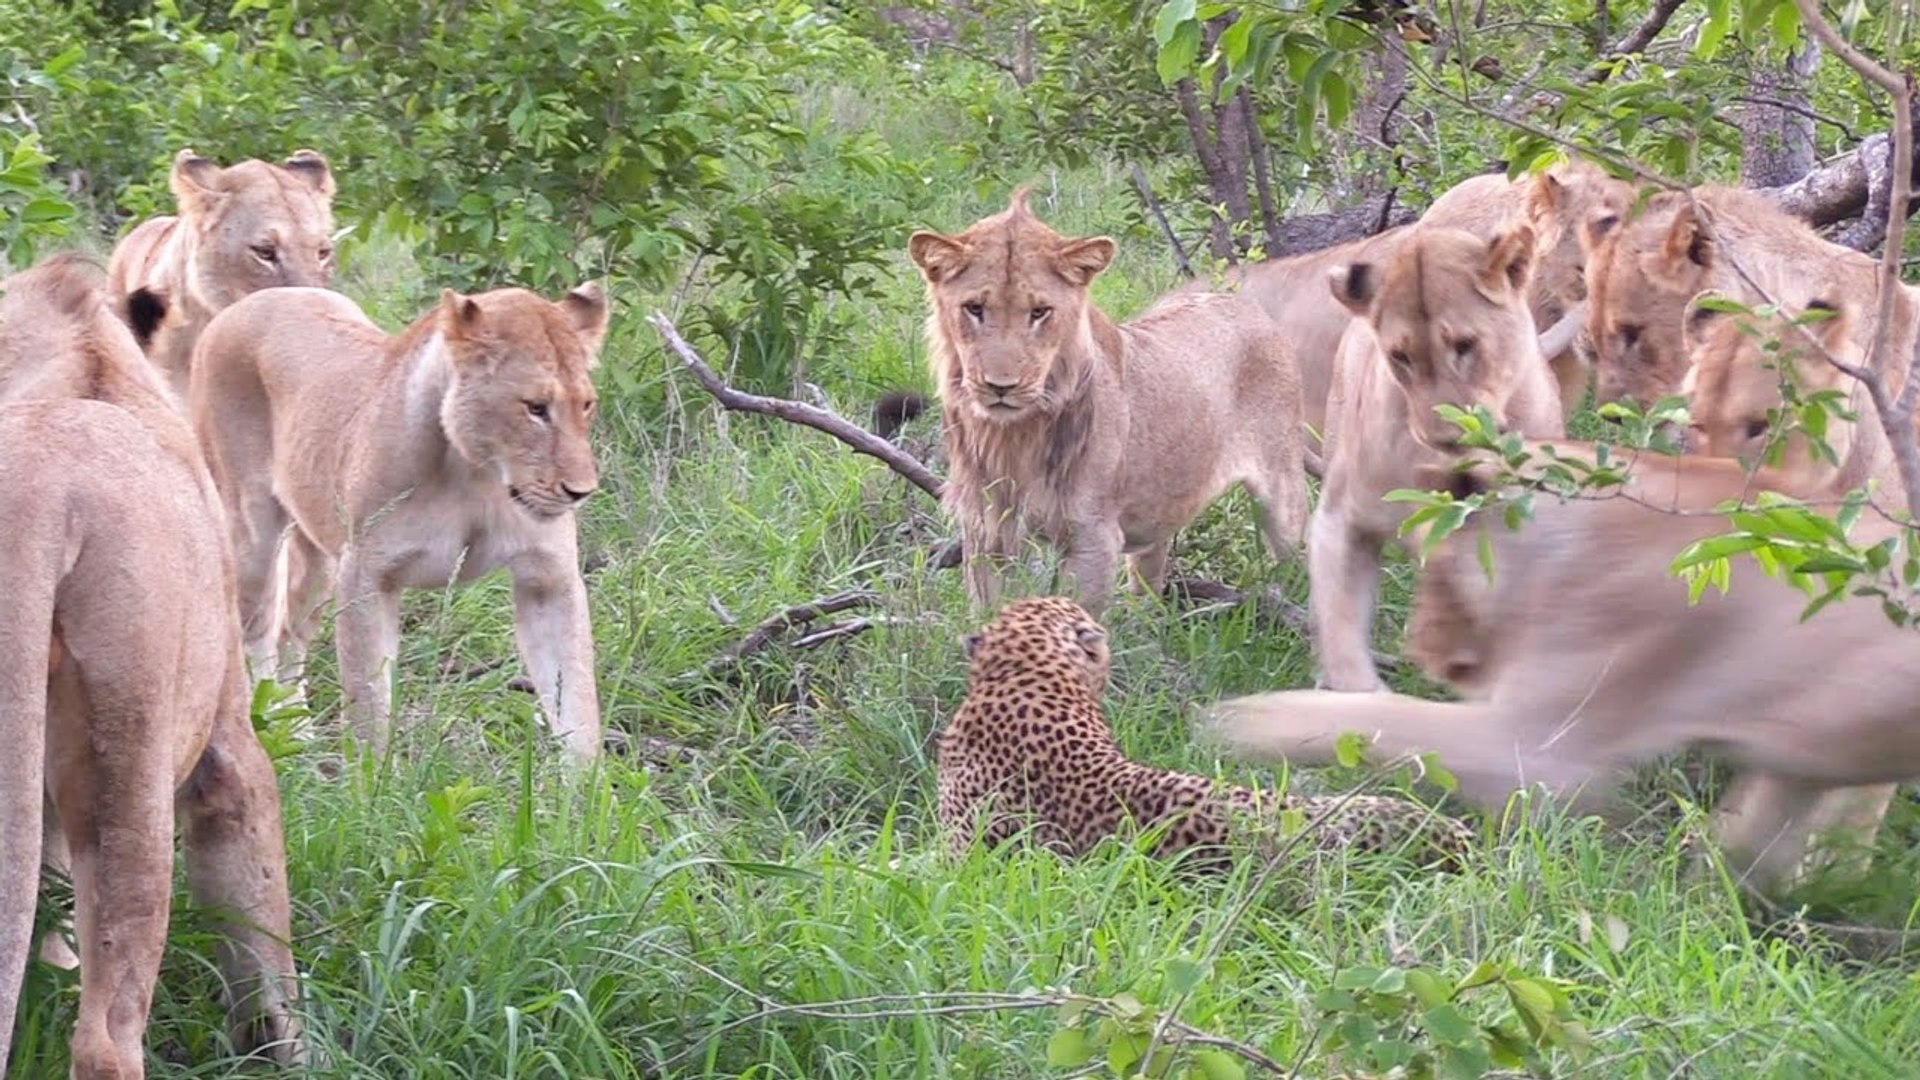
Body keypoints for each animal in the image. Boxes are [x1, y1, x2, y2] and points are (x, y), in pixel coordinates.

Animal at [190, 280, 610, 761]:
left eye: (587, 404)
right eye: (535, 407)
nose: (582, 491)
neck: (477, 474)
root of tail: (263, 295)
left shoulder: (549, 579)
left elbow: (577, 703)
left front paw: (585, 783)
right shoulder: (367, 575)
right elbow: (368, 706)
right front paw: (372, 779)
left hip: (320, 561)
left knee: (288, 634)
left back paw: (294, 732)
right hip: (252, 534)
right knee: (255, 635)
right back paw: (260, 732)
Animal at [907, 190, 1309, 615]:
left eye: (1039, 312)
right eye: (974, 308)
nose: (1001, 386)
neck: (1014, 437)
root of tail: (1246, 306)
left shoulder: (1092, 538)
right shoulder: (986, 533)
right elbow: (986, 614)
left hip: (1282, 490)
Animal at [1202, 442, 1920, 891]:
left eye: (1435, 567)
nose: (1420, 651)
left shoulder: (1538, 748)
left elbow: (1365, 719)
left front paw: (1230, 723)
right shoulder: (1793, 769)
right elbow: (1746, 850)